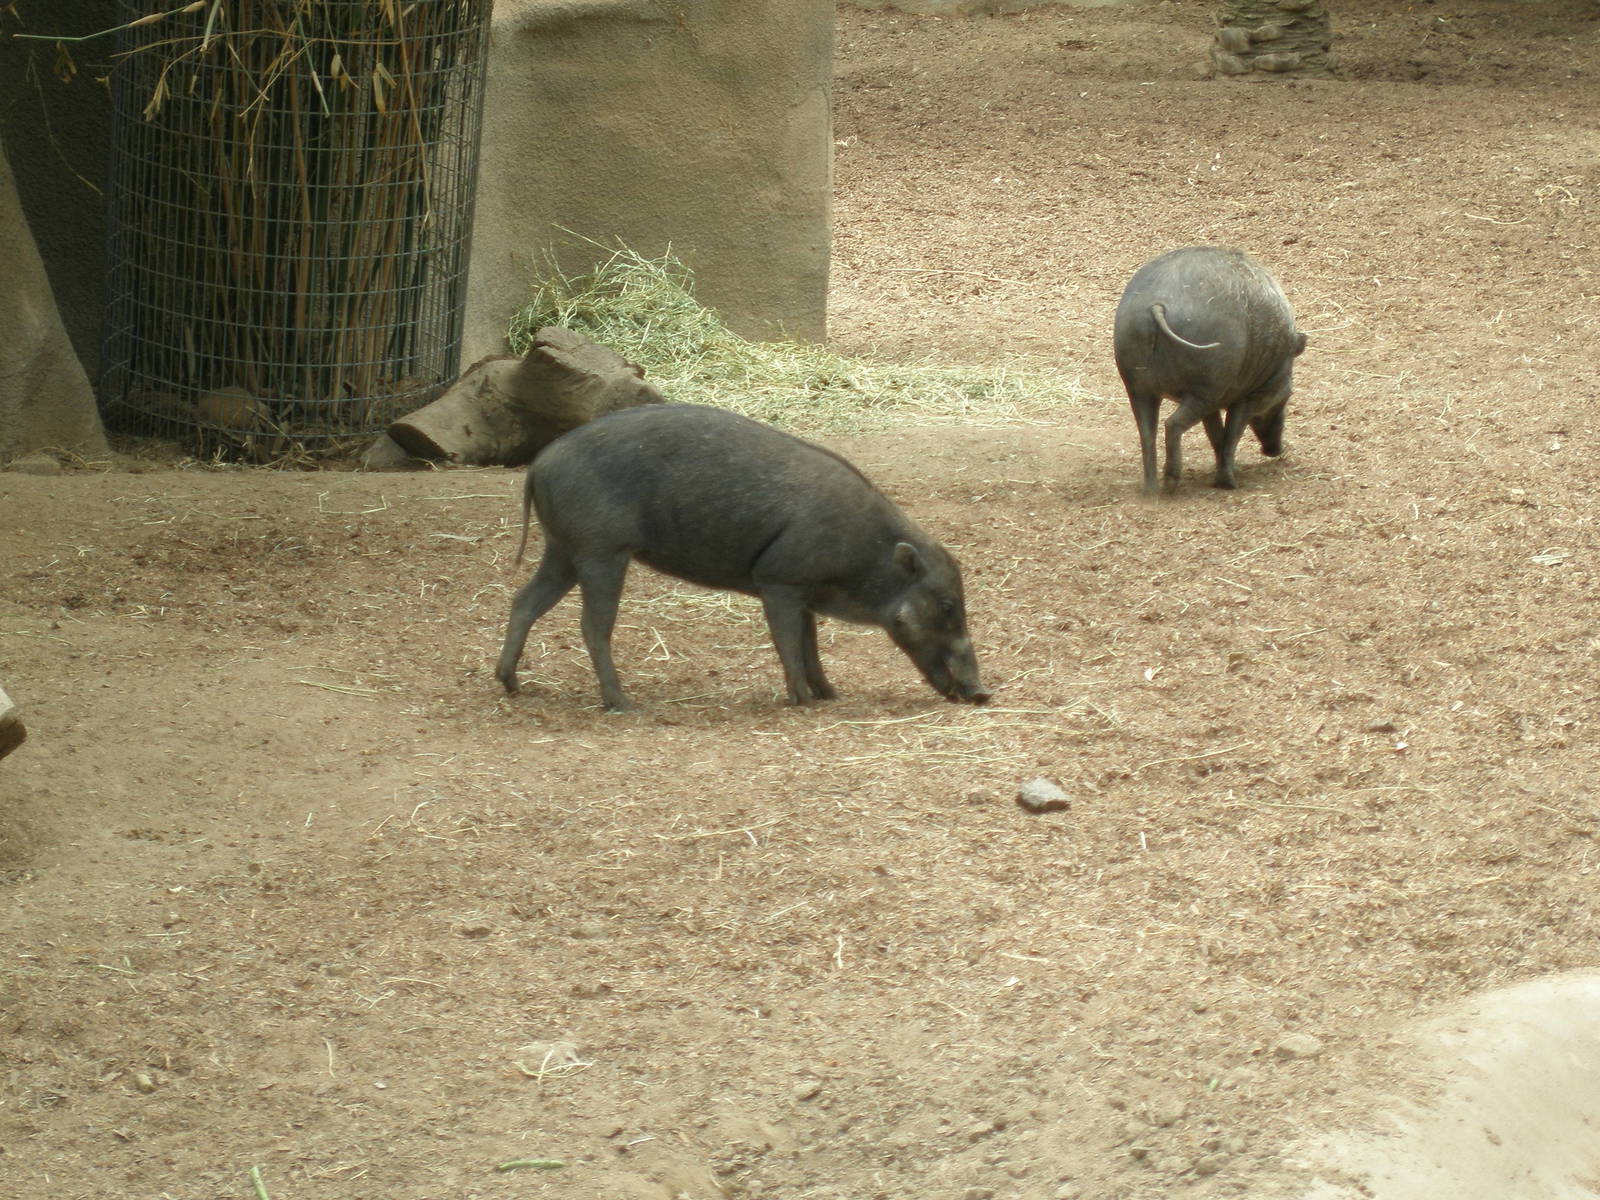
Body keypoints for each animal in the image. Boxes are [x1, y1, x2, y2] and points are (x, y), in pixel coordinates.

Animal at [494, 404, 990, 711]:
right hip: (601, 553)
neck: (865, 554)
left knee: (524, 601)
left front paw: (830, 695)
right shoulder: (780, 581)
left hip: (563, 550)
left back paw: (510, 683)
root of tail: (539, 464)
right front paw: (802, 701)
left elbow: (810, 645)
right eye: (949, 606)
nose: (982, 693)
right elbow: (789, 643)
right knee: (591, 626)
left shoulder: (804, 593)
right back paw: (623, 704)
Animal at [1113, 247, 1308, 494]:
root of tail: (1157, 305)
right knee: (1173, 424)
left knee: (1148, 435)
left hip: (1140, 388)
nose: (1275, 451)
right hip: (1203, 389)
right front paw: (1228, 484)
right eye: (1290, 393)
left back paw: (1151, 491)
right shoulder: (1249, 396)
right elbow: (1232, 433)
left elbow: (1217, 434)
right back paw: (1172, 483)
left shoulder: (1215, 401)